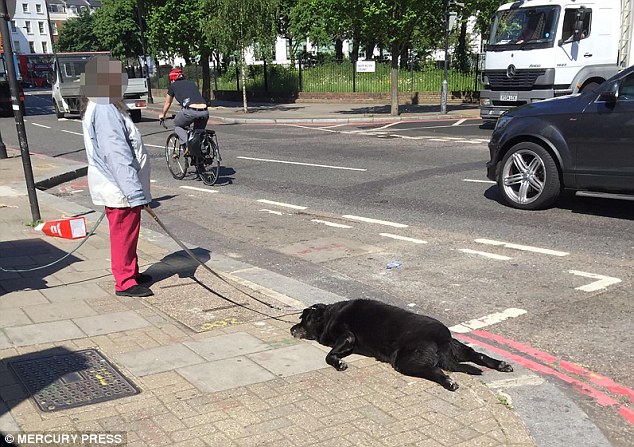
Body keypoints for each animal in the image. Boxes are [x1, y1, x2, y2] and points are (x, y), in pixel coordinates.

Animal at [288, 300, 512, 392]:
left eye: (303, 320)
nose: (291, 329)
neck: (328, 316)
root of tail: (441, 339)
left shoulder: (347, 337)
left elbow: (329, 355)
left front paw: (338, 363)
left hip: (407, 360)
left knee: (434, 370)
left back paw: (448, 382)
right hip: (456, 347)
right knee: (477, 355)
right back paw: (500, 364)